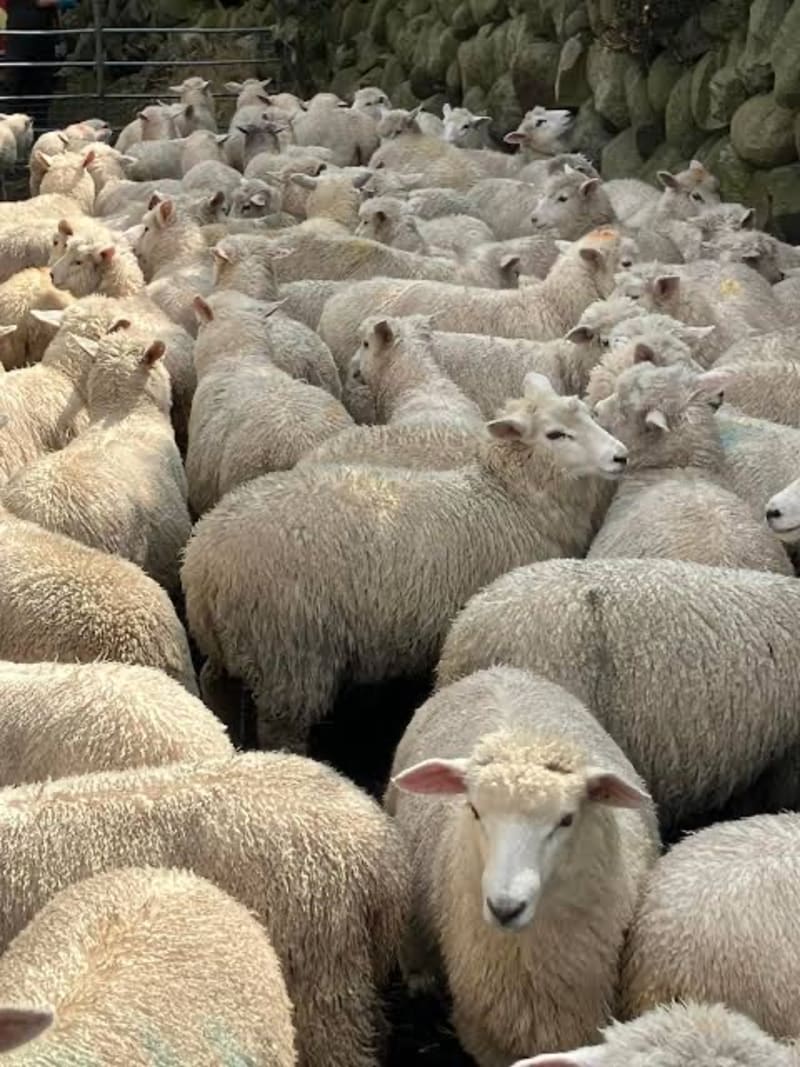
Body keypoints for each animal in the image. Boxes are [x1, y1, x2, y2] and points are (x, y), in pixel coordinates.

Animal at [182, 372, 627, 750]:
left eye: (589, 416)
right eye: (556, 434)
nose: (620, 456)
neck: (508, 499)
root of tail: (203, 559)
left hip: (231, 644)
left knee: (215, 683)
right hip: (288, 653)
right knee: (283, 727)